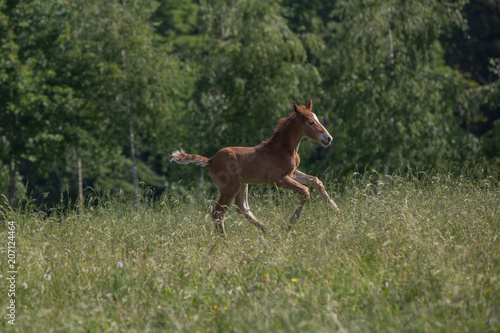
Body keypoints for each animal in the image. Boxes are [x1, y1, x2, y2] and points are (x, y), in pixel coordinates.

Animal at [172, 99, 340, 236]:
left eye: (317, 119)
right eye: (310, 122)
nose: (328, 138)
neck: (283, 149)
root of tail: (211, 160)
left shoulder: (291, 173)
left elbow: (315, 181)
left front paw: (336, 210)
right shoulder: (277, 180)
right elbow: (305, 191)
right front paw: (289, 225)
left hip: (242, 184)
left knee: (242, 208)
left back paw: (268, 231)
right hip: (230, 187)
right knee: (218, 213)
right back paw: (226, 241)